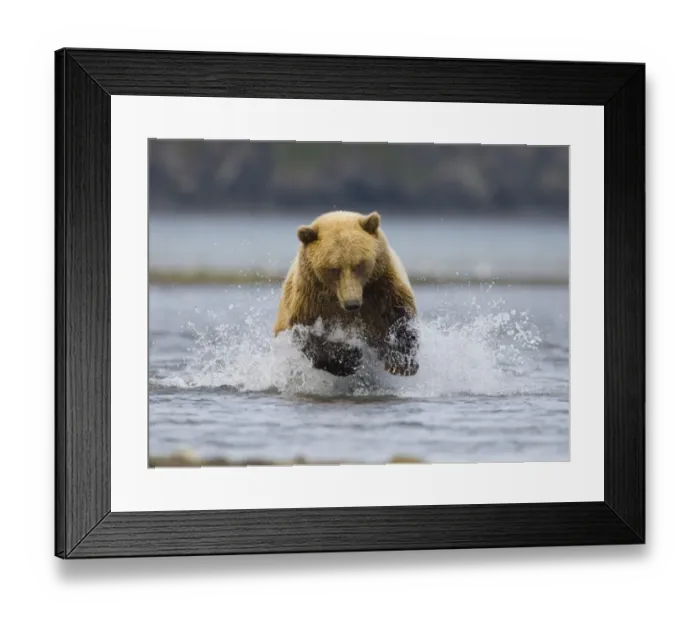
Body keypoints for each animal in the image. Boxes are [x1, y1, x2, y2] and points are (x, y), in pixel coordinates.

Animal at [273, 210, 420, 378]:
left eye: (359, 264)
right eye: (333, 269)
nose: (352, 304)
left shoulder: (381, 287)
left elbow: (398, 317)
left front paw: (401, 362)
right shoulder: (310, 299)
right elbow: (306, 335)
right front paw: (349, 357)